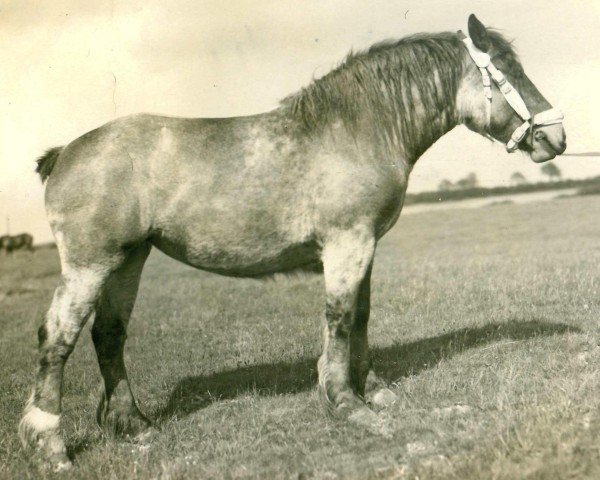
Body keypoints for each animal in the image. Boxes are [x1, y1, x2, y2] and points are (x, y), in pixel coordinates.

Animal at [19, 15, 564, 468]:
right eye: (507, 70)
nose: (556, 138)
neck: (355, 131)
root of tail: (66, 152)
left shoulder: (365, 247)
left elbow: (361, 317)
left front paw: (375, 391)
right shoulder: (347, 244)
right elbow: (339, 320)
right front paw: (346, 403)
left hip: (129, 260)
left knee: (108, 335)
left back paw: (135, 426)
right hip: (91, 265)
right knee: (58, 338)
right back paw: (51, 444)